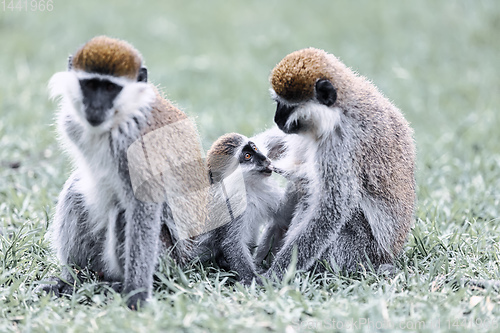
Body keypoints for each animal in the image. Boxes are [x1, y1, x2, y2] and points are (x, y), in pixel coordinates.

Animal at [39, 35, 209, 306]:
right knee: (76, 191)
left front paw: (136, 295)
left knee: (122, 215)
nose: (95, 107)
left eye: (110, 89)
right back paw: (75, 279)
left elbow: (144, 204)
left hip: (167, 261)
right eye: (90, 86)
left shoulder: (135, 145)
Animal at [197, 132, 284, 282]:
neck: (249, 186)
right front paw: (254, 281)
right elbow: (232, 243)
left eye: (254, 147)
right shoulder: (232, 207)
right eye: (247, 156)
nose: (264, 158)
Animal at [256, 48, 416, 278]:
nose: (277, 120)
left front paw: (275, 274)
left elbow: (333, 209)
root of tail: (386, 258)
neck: (338, 111)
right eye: (278, 103)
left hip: (357, 251)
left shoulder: (340, 146)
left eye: (287, 106)